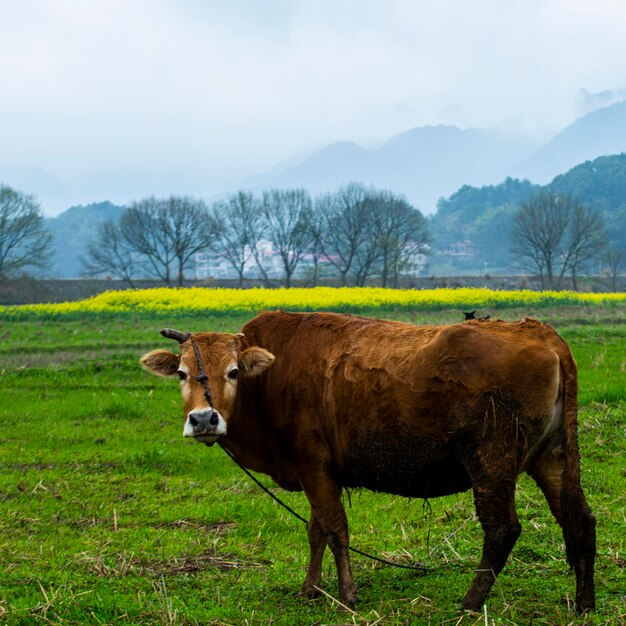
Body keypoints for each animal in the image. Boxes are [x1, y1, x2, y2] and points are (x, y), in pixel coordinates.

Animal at [140, 310, 596, 612]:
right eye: (181, 373)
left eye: (234, 371)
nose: (204, 419)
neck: (272, 376)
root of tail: (539, 331)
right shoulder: (315, 472)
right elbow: (316, 531)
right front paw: (310, 589)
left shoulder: (315, 467)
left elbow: (336, 531)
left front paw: (347, 595)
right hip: (552, 457)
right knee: (579, 519)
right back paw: (583, 601)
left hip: (491, 463)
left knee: (503, 529)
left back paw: (469, 601)